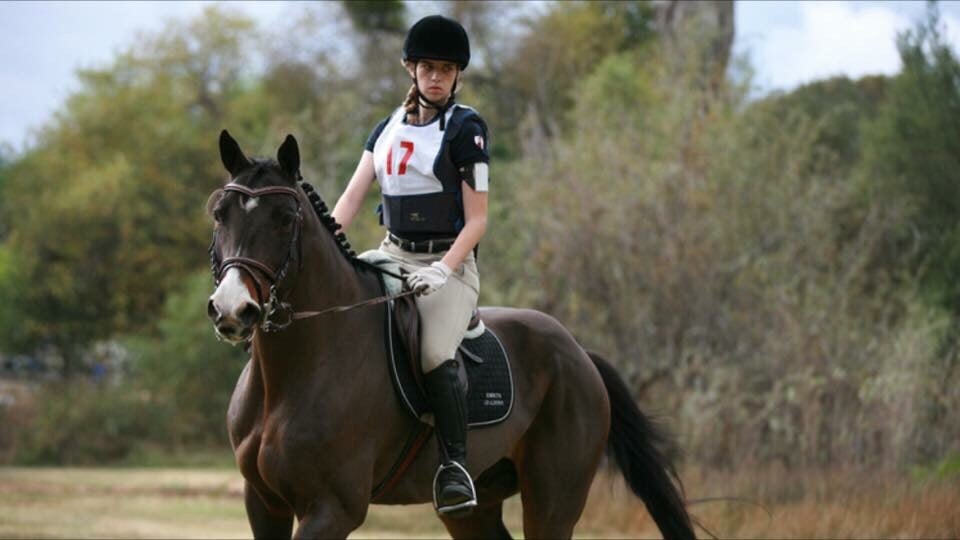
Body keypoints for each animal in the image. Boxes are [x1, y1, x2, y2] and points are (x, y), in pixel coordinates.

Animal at [205, 130, 694, 540]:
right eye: (220, 214)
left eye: (286, 217)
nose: (232, 308)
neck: (292, 375)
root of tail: (578, 353)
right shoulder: (264, 503)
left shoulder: (332, 509)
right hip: (476, 507)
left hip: (553, 502)